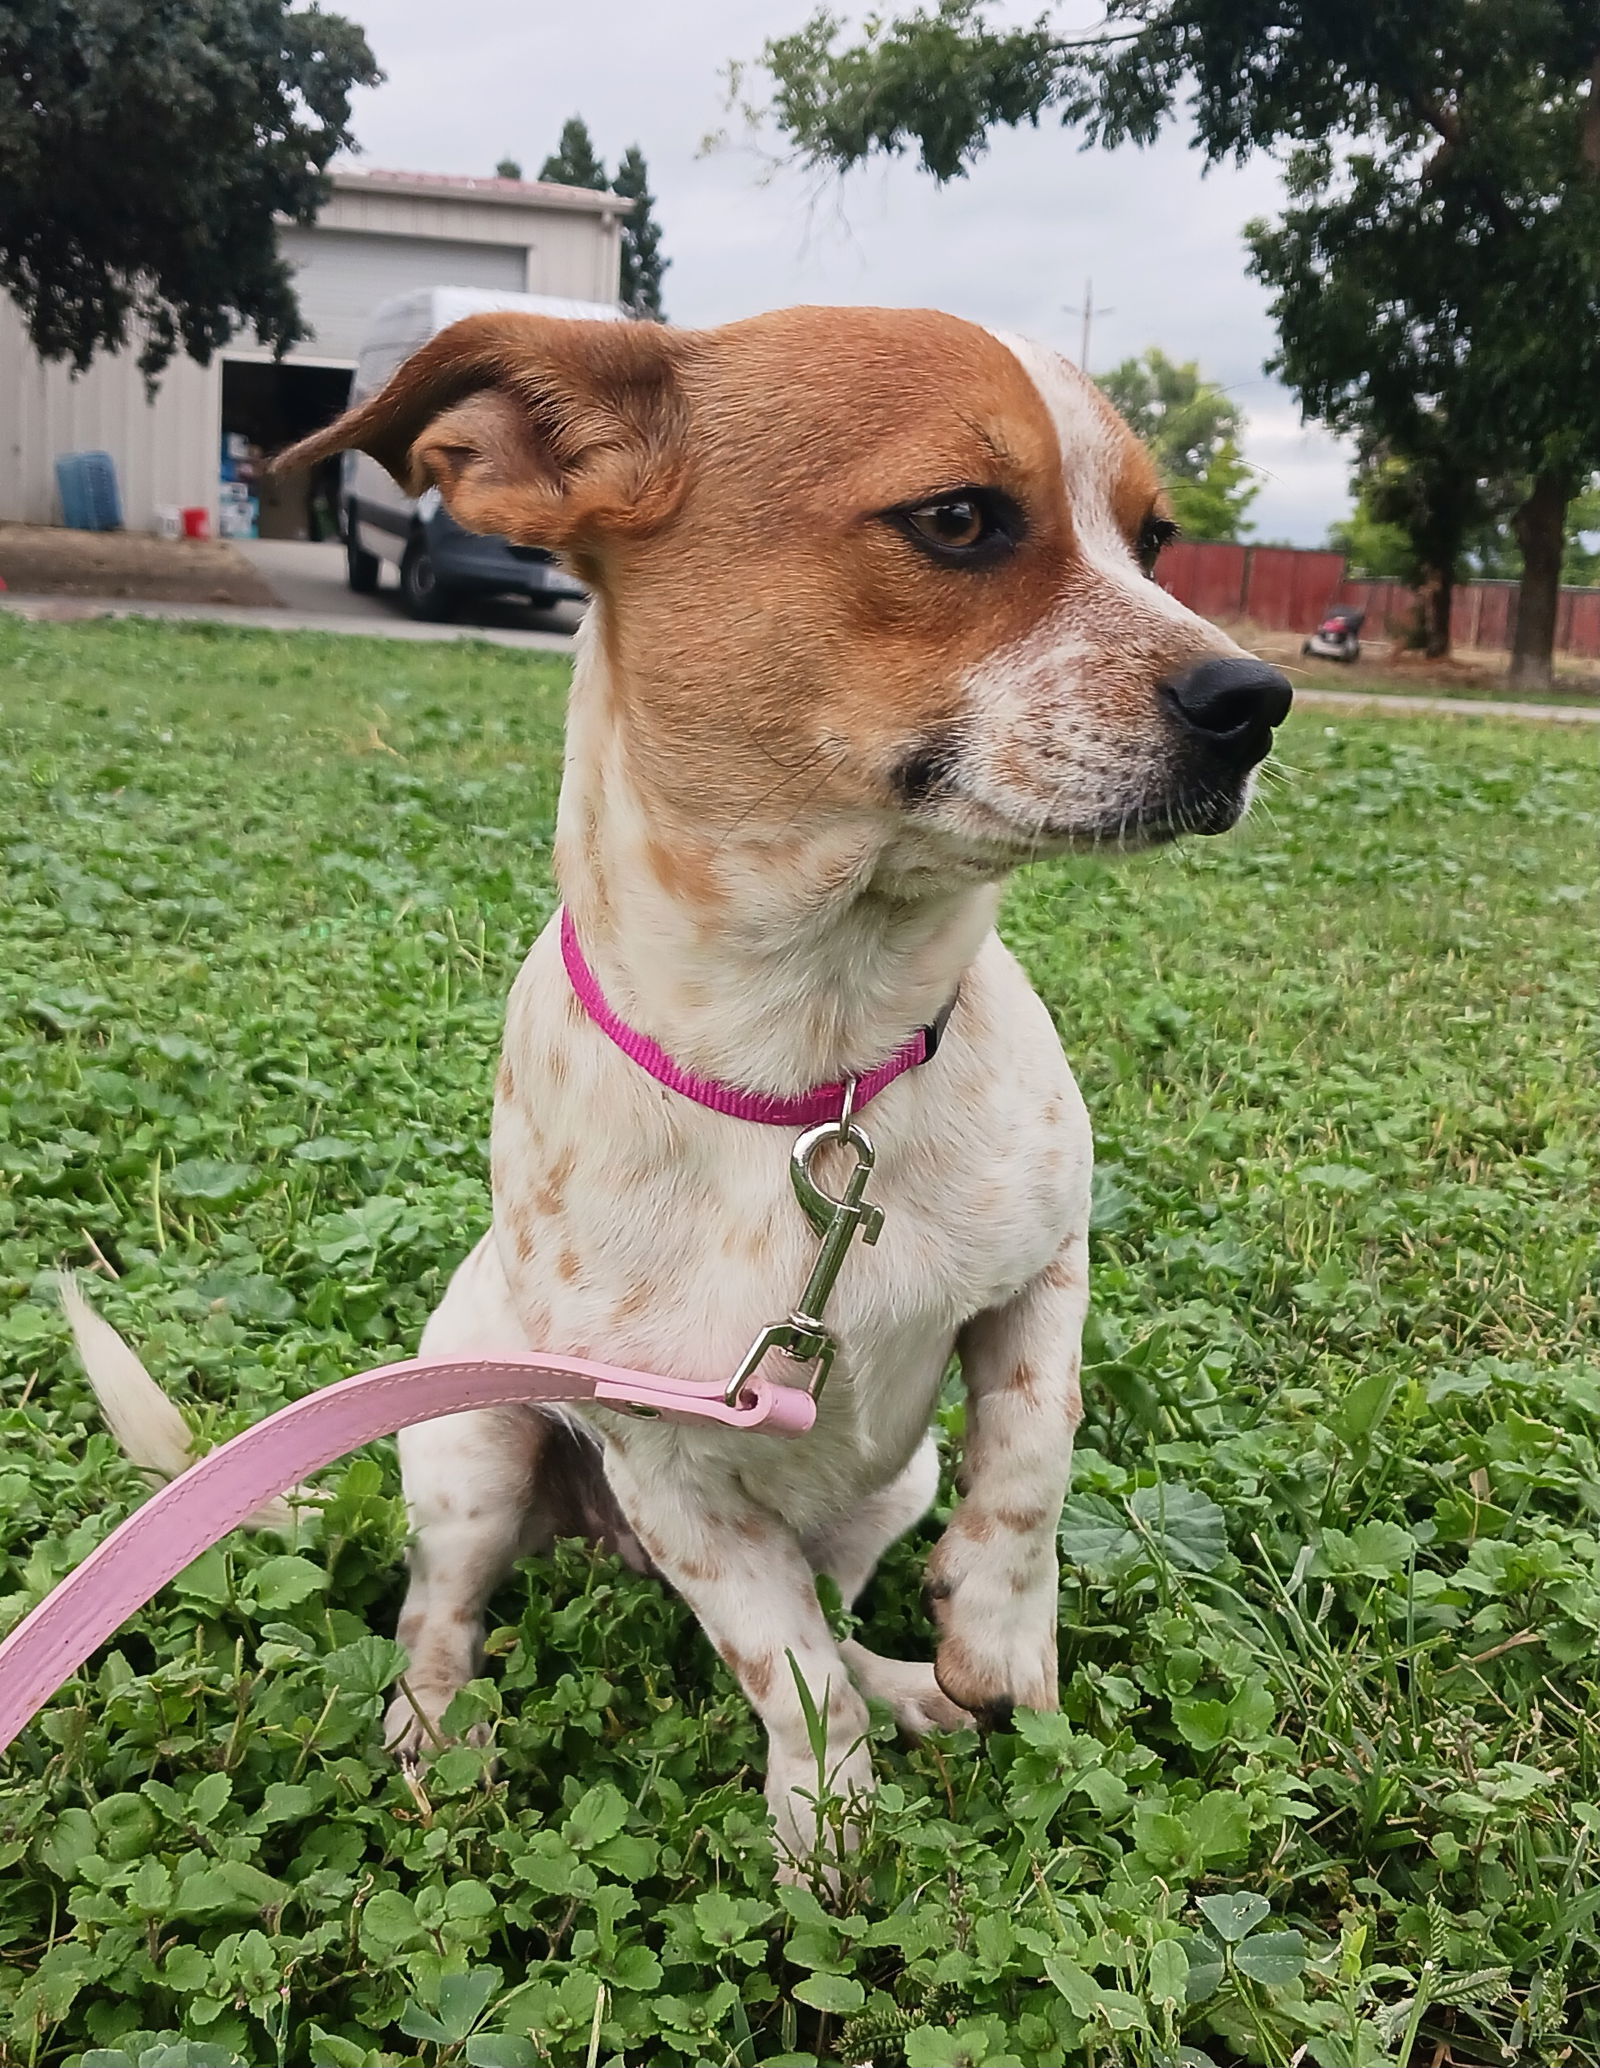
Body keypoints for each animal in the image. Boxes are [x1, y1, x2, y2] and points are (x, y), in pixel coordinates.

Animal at [75, 310, 1298, 1877]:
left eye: (1152, 537)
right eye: (959, 518)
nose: (1256, 701)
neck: (814, 1075)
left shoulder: (1046, 1274)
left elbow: (1030, 1466)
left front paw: (994, 1647)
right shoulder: (672, 1474)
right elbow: (787, 1672)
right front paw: (825, 1835)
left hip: (886, 1485)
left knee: (845, 1591)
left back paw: (914, 1682)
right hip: (476, 1453)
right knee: (437, 1616)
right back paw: (432, 1742)